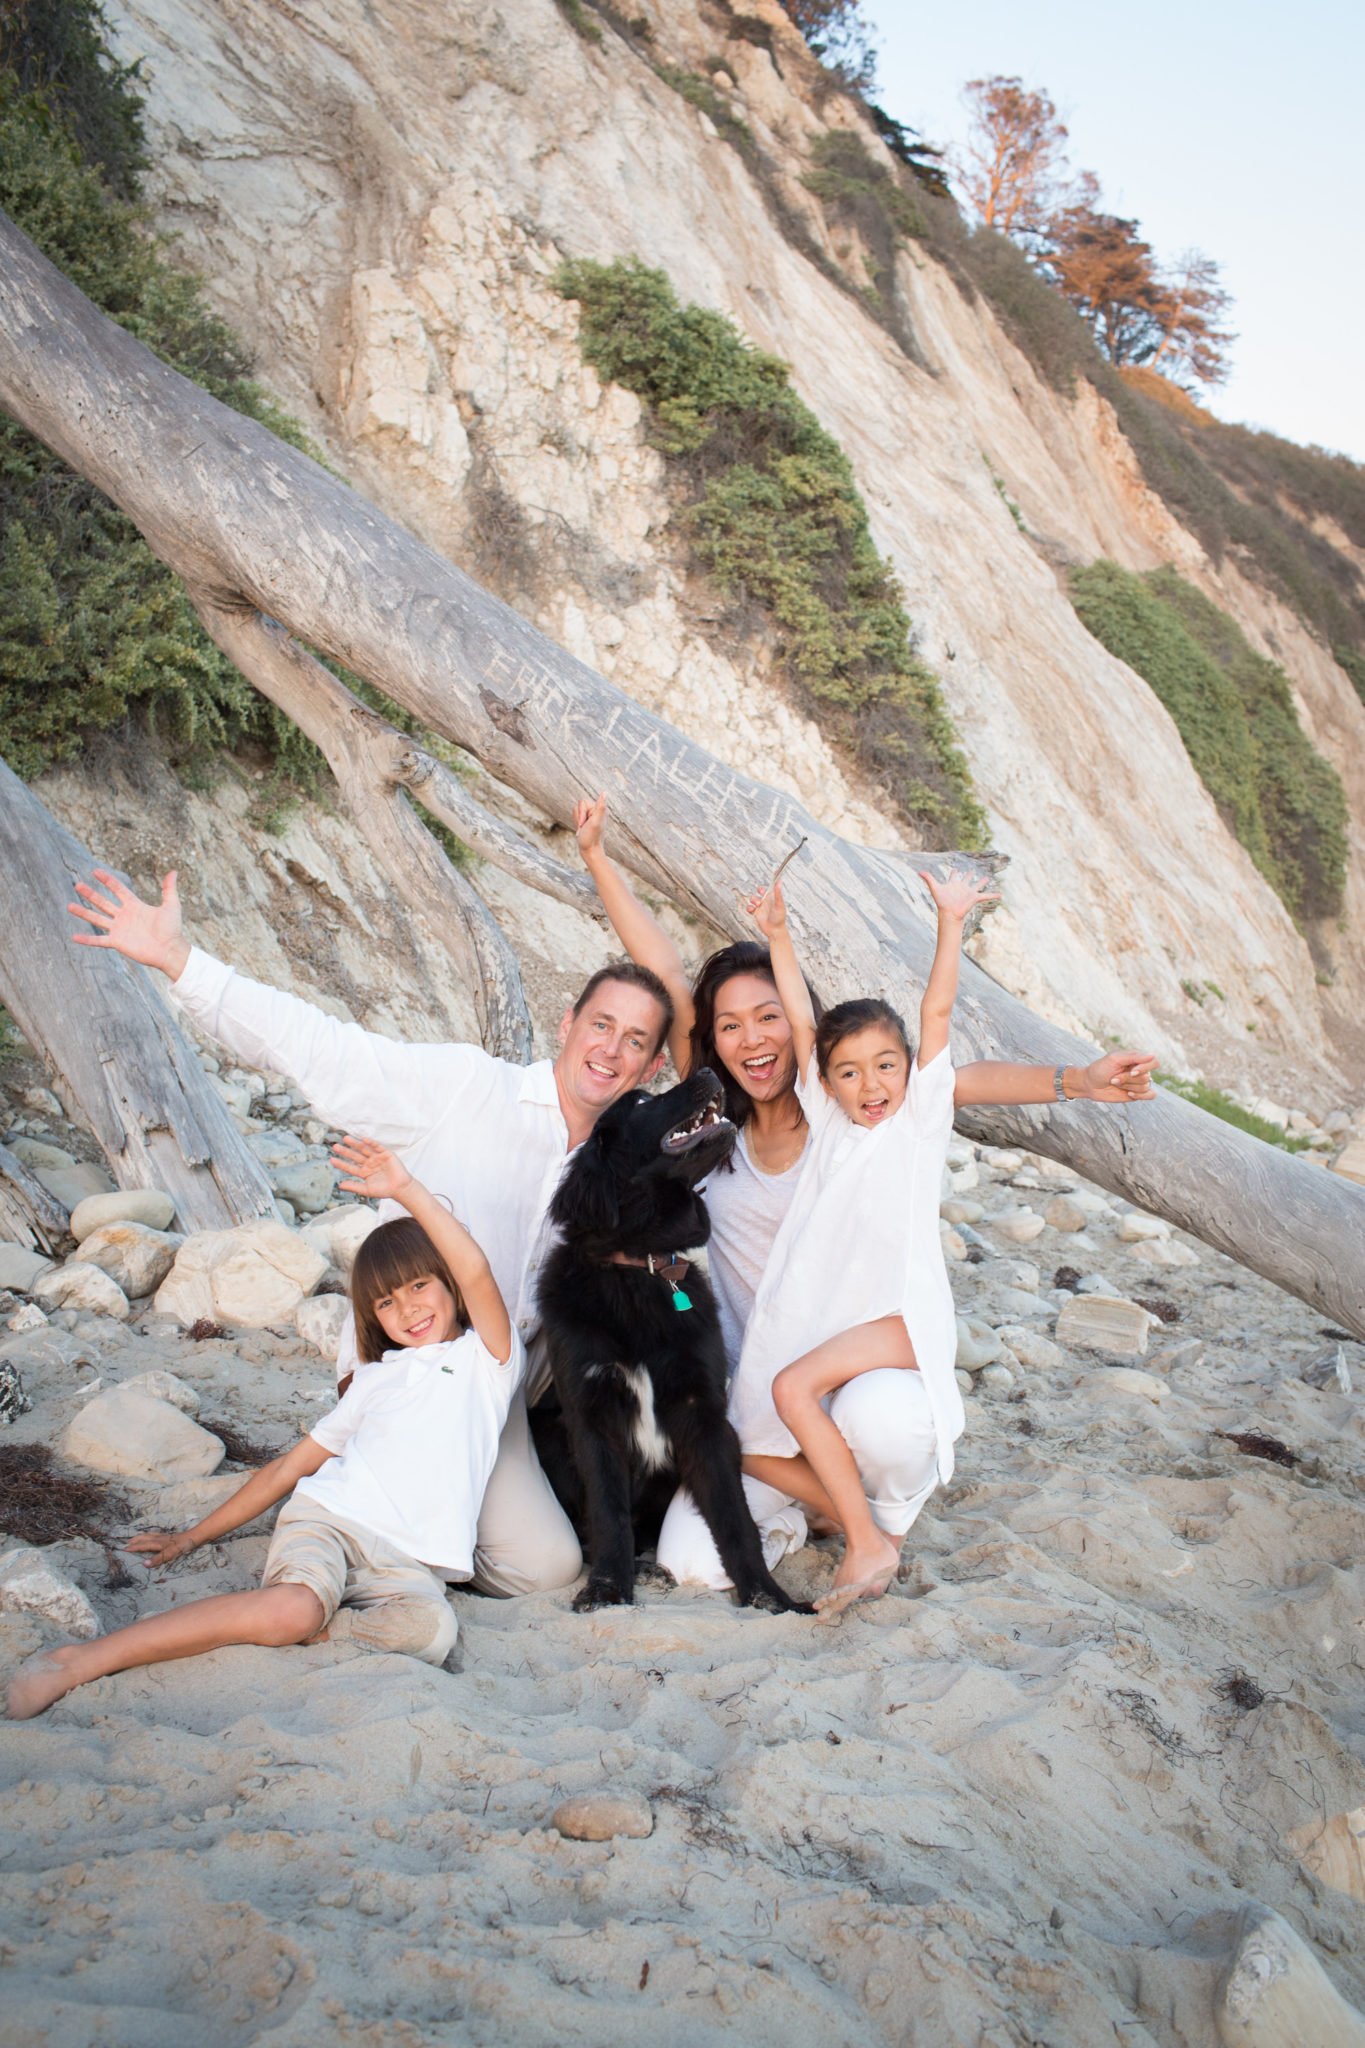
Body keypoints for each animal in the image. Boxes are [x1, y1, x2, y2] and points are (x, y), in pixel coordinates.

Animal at [532, 1073, 810, 1613]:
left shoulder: (703, 1411)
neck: (641, 1266)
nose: (709, 1074)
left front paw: (766, 1595)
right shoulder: (590, 1412)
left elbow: (734, 1515)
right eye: (641, 1100)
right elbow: (608, 1511)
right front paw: (607, 1588)